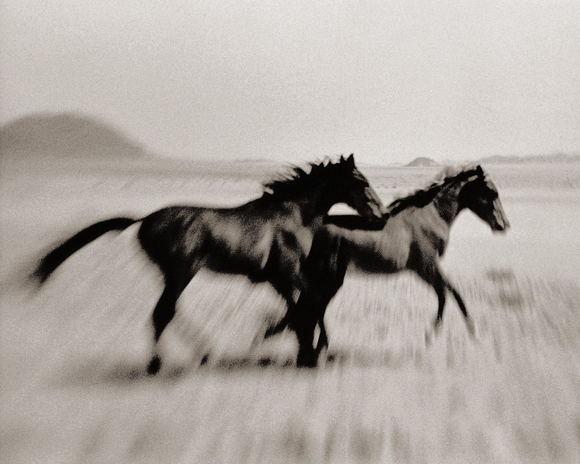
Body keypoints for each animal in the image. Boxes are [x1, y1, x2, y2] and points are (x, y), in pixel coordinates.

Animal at [31, 156, 386, 374]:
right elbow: (310, 305)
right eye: (359, 181)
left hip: (173, 274)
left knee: (168, 311)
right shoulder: (289, 272)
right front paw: (309, 351)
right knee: (162, 313)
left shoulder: (277, 278)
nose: (380, 215)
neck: (294, 214)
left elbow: (304, 309)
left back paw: (202, 353)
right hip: (182, 272)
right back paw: (163, 363)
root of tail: (144, 220)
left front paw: (300, 346)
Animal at [266, 164, 510, 366]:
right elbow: (451, 293)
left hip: (330, 278)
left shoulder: (425, 270)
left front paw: (438, 334)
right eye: (492, 193)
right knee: (311, 309)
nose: (503, 225)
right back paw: (313, 351)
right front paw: (462, 331)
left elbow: (446, 293)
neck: (431, 217)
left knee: (309, 309)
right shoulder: (426, 267)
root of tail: (307, 229)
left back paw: (308, 351)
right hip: (328, 277)